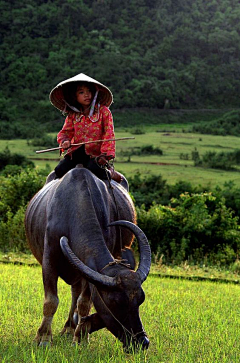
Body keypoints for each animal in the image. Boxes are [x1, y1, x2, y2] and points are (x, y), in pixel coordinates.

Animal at [25, 166, 151, 352]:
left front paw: (80, 338)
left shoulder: (88, 272)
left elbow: (84, 303)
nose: (142, 342)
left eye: (140, 299)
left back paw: (70, 328)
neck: (73, 209)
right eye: (116, 303)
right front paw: (43, 338)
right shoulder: (49, 262)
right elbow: (51, 301)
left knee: (75, 294)